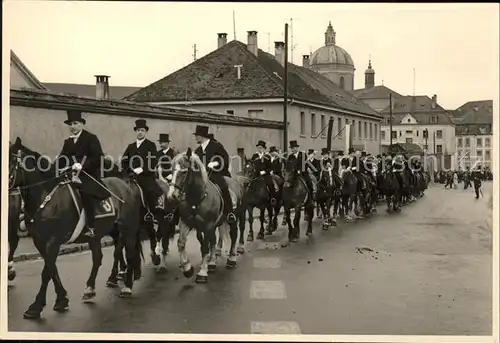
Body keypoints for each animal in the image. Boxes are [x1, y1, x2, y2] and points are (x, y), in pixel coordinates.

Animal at [8, 138, 144, 322]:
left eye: (10, 162)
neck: (47, 197)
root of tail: (127, 185)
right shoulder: (40, 241)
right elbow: (52, 269)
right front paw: (61, 299)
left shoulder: (53, 241)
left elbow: (46, 272)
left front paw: (36, 307)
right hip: (102, 234)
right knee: (99, 258)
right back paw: (91, 289)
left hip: (128, 230)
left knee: (128, 254)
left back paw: (127, 287)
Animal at [167, 150, 245, 284]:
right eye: (172, 170)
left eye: (184, 171)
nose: (172, 195)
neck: (196, 199)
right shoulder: (187, 223)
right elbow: (181, 243)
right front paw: (188, 269)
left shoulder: (208, 225)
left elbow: (204, 247)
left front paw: (202, 272)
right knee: (213, 240)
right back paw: (213, 262)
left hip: (234, 218)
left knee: (234, 235)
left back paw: (232, 259)